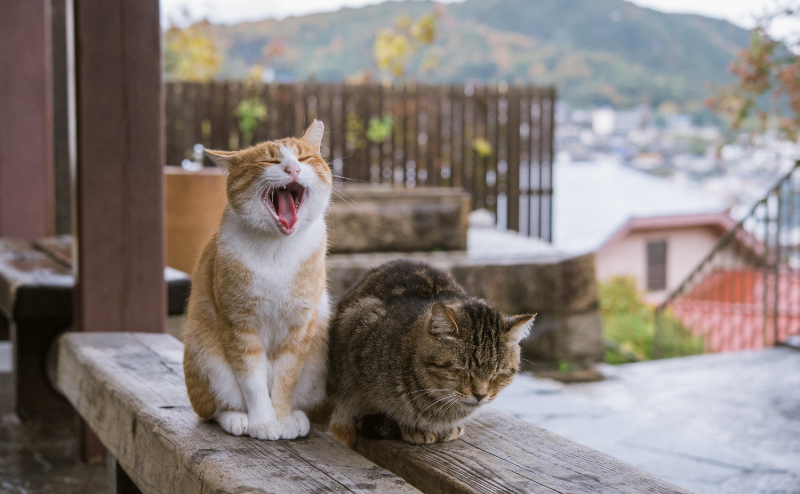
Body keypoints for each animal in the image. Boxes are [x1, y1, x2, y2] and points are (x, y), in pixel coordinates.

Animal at [182, 118, 332, 440]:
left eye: (304, 157)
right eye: (269, 161)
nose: (293, 169)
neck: (277, 251)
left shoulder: (301, 326)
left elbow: (286, 379)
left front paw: (283, 418)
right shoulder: (239, 325)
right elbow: (252, 380)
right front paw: (264, 421)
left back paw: (298, 417)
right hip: (204, 352)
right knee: (213, 409)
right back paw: (237, 419)